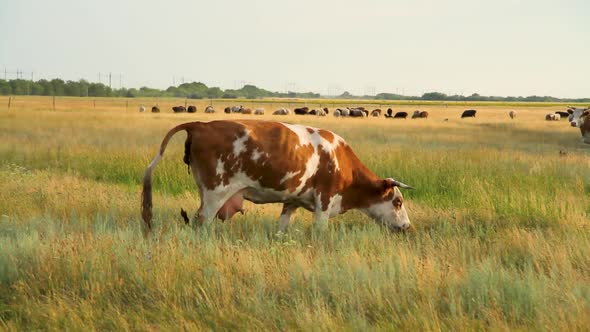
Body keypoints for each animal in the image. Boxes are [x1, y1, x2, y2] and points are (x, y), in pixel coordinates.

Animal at [141, 120, 414, 235]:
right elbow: (320, 231)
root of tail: (201, 124)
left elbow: (282, 227)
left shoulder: (292, 201)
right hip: (214, 194)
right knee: (201, 222)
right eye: (398, 202)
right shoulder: (324, 202)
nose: (407, 226)